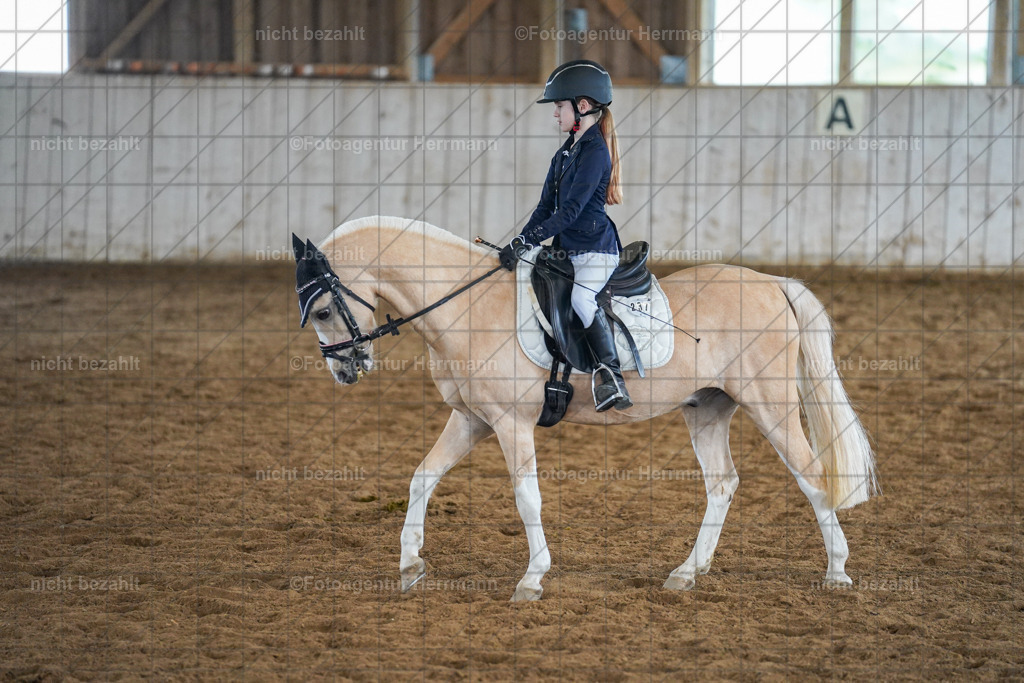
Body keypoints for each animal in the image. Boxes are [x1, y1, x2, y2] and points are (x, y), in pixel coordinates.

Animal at [293, 215, 878, 602]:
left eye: (321, 310)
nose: (344, 370)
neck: (468, 306)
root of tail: (773, 284)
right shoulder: (473, 419)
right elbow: (422, 477)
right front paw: (410, 566)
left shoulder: (510, 424)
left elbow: (526, 499)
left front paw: (532, 579)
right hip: (708, 408)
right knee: (723, 484)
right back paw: (687, 574)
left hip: (769, 403)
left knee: (811, 476)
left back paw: (837, 573)